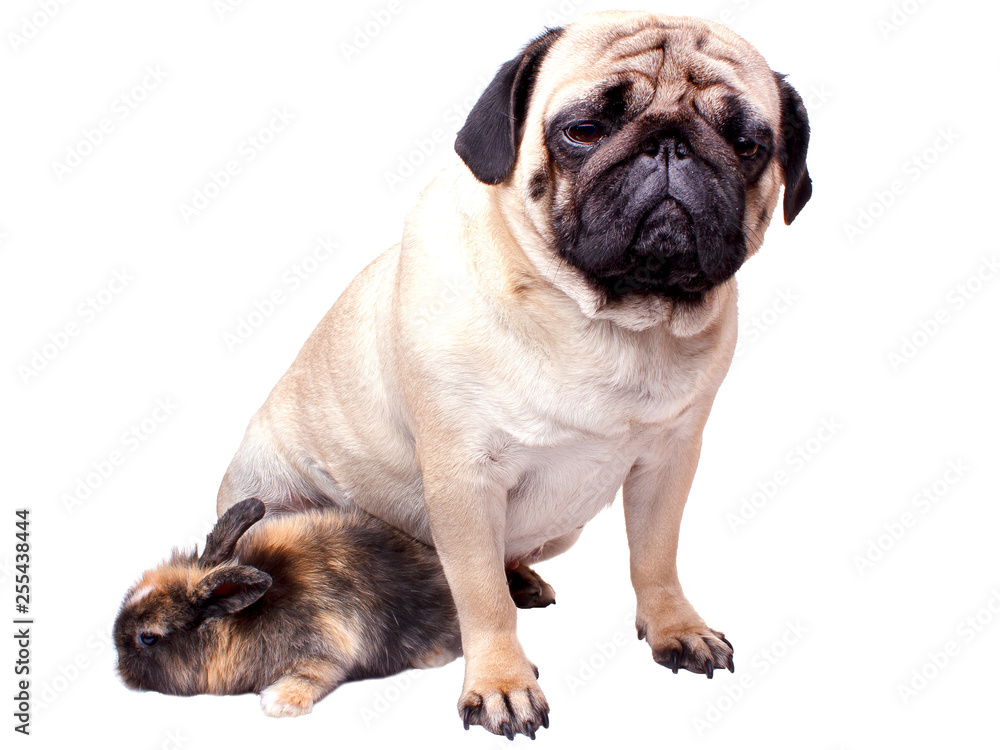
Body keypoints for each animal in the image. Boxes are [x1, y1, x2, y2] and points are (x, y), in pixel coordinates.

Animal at [114, 498, 461, 717]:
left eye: (148, 637)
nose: (121, 673)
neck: (241, 620)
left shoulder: (324, 649)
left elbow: (313, 677)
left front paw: (279, 703)